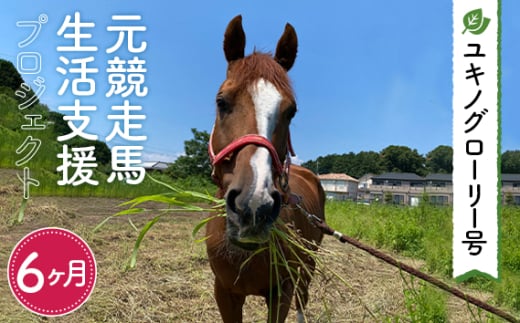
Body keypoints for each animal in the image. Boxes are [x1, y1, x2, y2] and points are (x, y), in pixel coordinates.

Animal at [206, 15, 324, 323]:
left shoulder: (280, 292)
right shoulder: (225, 293)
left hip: (309, 262)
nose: (253, 204)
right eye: (221, 102)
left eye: (291, 111)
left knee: (303, 298)